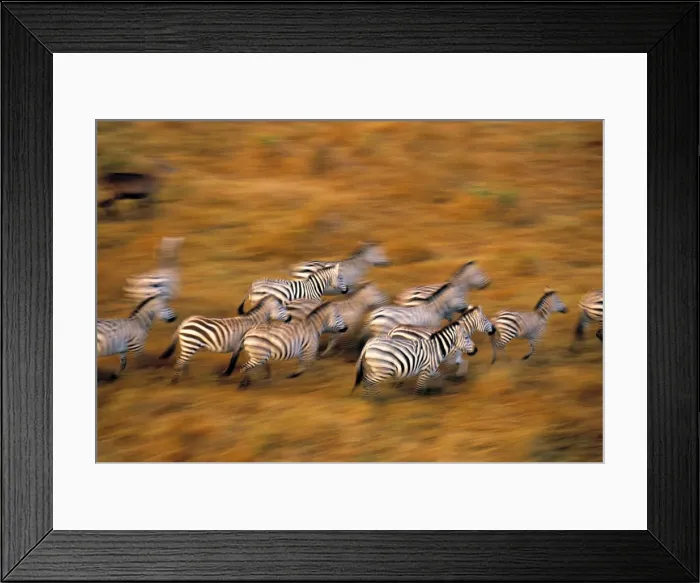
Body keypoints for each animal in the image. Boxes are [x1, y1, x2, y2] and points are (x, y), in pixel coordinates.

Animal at [158, 296, 292, 384]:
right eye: (281, 308)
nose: (290, 318)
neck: (253, 322)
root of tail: (185, 322)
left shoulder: (242, 345)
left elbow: (239, 360)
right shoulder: (244, 344)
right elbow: (238, 361)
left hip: (189, 346)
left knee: (184, 361)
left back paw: (187, 378)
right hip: (190, 344)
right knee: (180, 361)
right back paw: (175, 381)